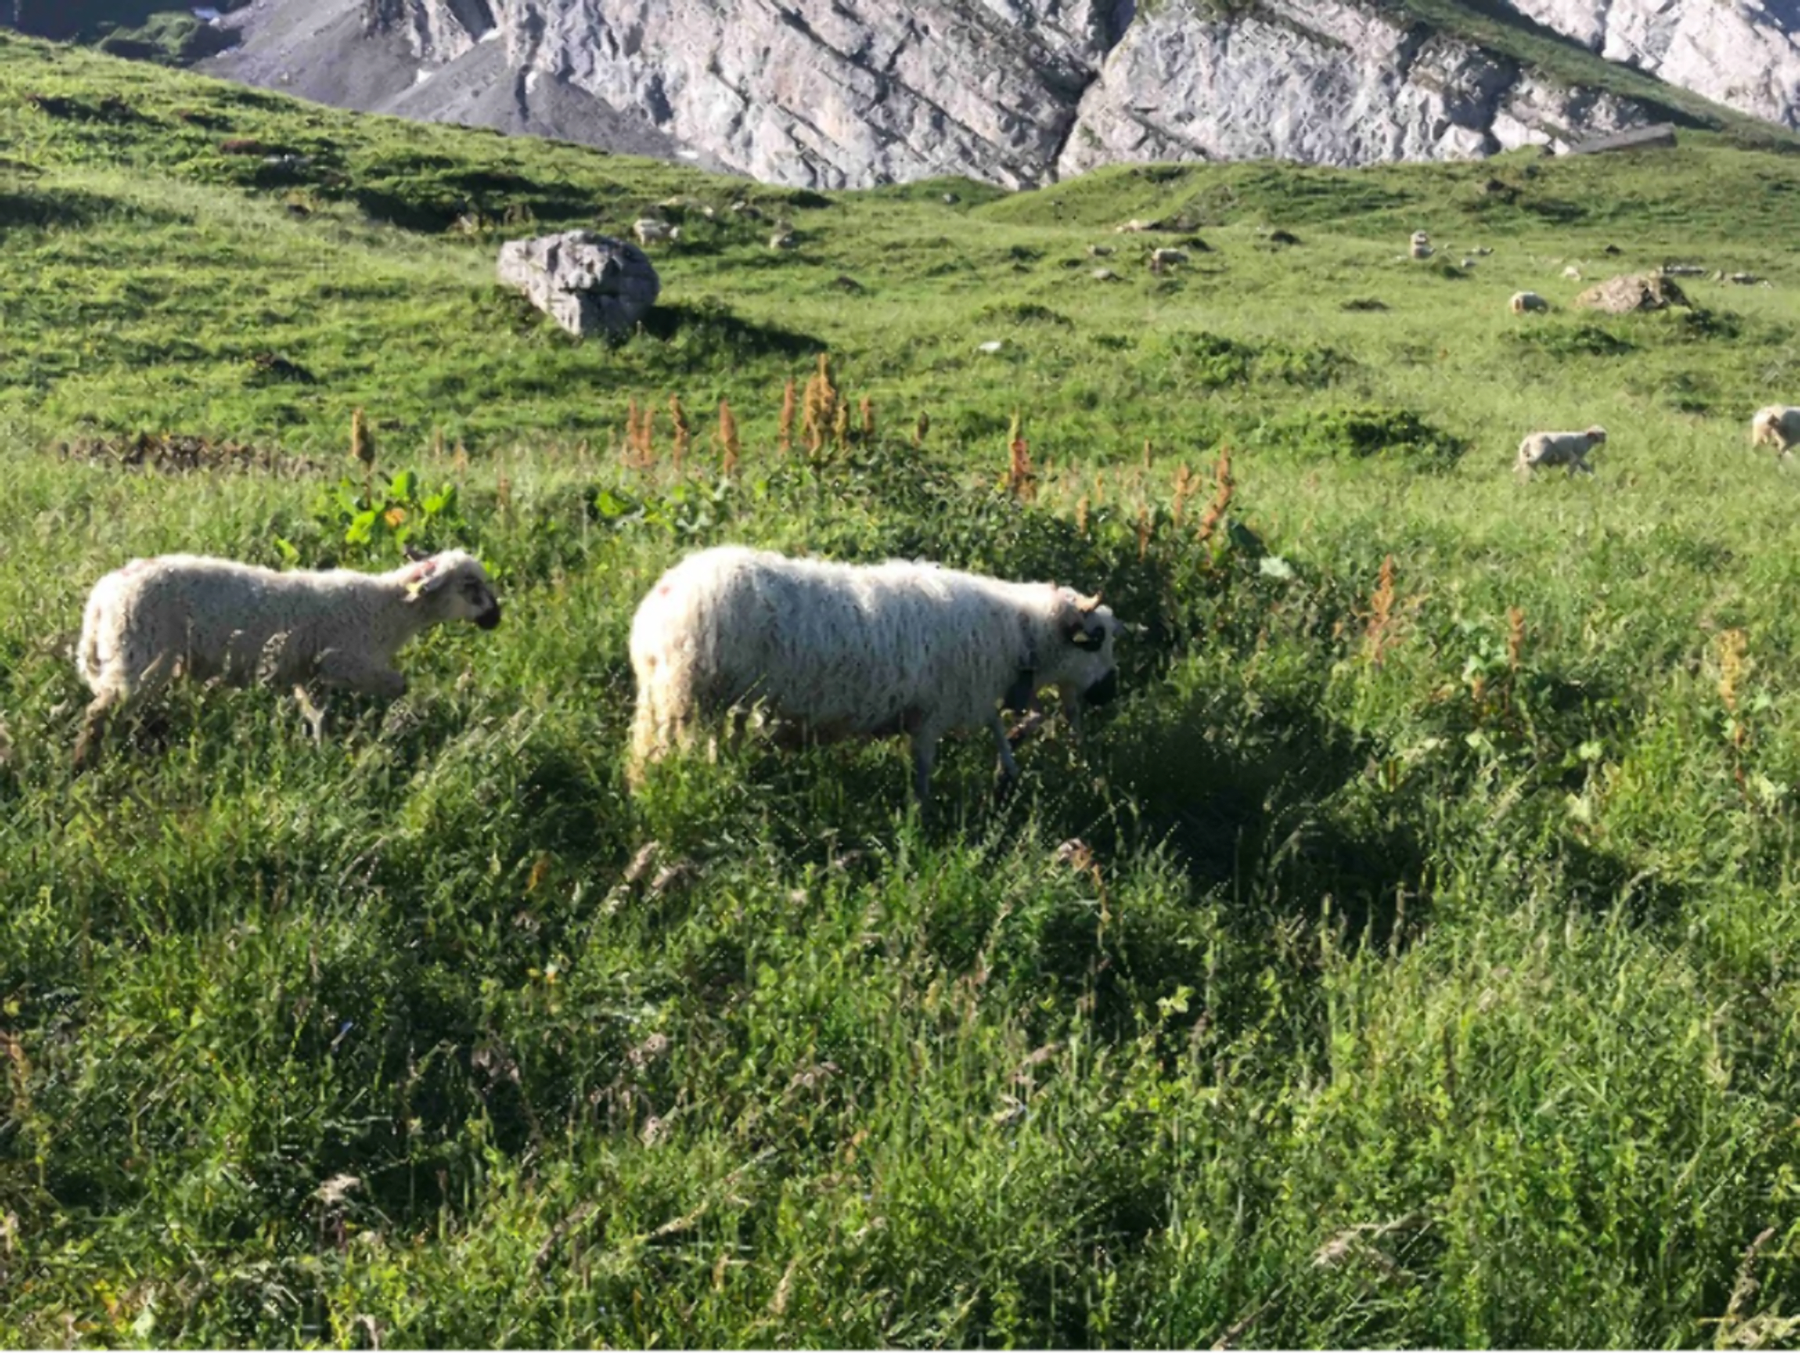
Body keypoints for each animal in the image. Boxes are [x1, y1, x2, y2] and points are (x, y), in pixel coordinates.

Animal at [73, 547, 504, 763]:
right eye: (470, 585)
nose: (496, 618)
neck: (388, 609)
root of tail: (103, 595)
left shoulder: (310, 673)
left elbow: (318, 714)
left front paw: (322, 750)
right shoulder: (342, 659)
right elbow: (399, 685)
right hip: (139, 653)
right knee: (99, 714)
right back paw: (84, 764)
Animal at [622, 543, 1123, 810]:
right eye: (1097, 639)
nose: (1109, 695)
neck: (1015, 633)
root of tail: (658, 604)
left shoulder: (971, 694)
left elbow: (998, 725)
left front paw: (1008, 770)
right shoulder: (933, 710)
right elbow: (925, 765)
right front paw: (922, 812)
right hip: (688, 695)